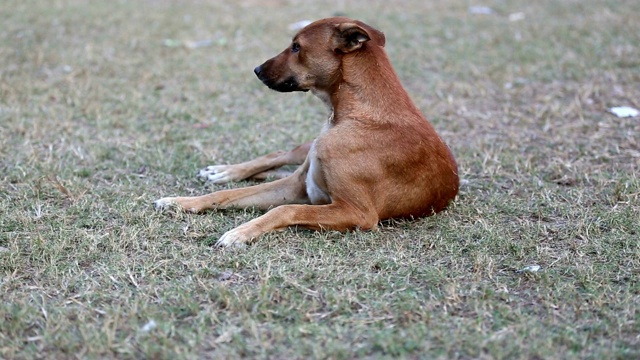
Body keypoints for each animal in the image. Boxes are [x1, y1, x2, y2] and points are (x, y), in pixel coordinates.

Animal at [154, 16, 460, 248]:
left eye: (296, 47)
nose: (256, 70)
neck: (358, 114)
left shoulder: (357, 212)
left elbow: (284, 209)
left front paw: (241, 232)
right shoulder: (297, 185)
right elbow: (226, 195)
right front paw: (180, 201)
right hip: (307, 148)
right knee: (281, 154)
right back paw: (224, 171)